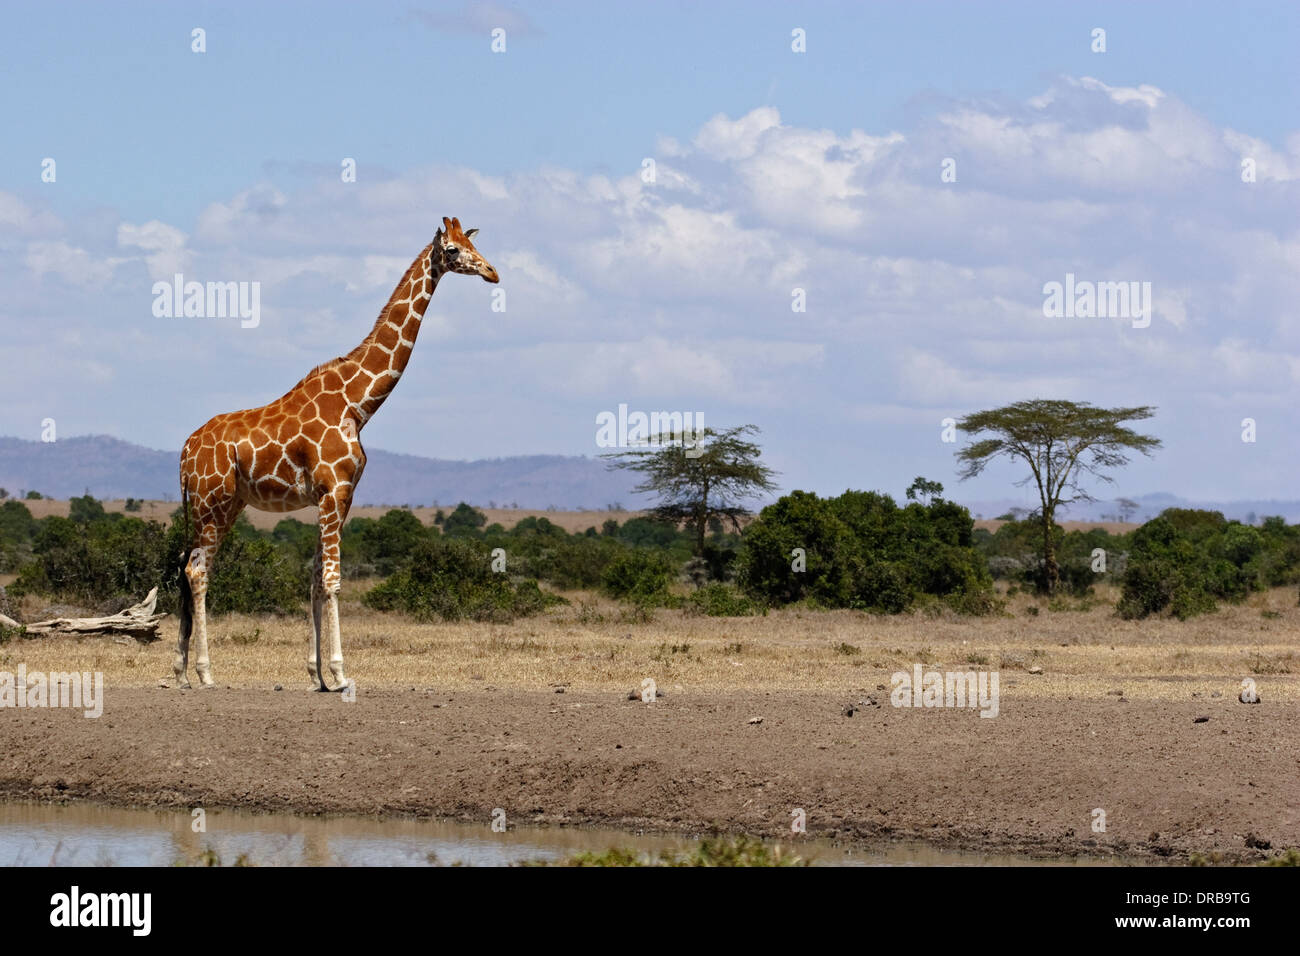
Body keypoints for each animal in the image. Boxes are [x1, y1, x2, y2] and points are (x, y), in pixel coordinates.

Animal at [174, 217, 498, 690]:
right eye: (453, 250)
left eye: (474, 243)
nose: (493, 273)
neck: (357, 404)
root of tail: (184, 451)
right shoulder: (334, 489)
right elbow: (331, 580)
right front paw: (342, 673)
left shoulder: (341, 495)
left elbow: (313, 578)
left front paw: (317, 675)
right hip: (209, 501)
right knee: (197, 571)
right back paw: (205, 671)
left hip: (225, 504)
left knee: (189, 566)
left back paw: (179, 670)